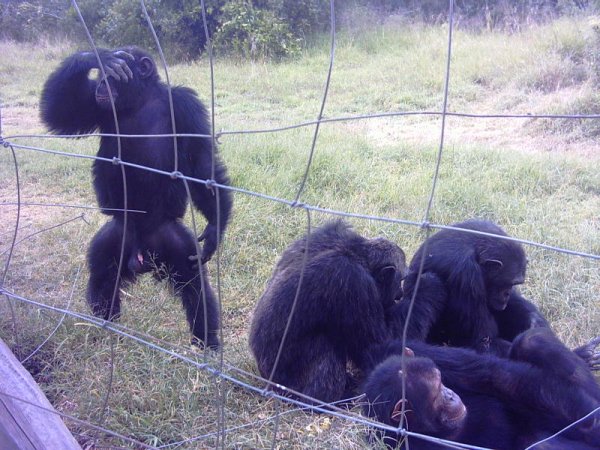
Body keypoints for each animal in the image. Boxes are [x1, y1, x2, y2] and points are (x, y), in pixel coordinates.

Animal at [39, 47, 232, 348]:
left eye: (112, 78)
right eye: (102, 75)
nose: (102, 83)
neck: (140, 101)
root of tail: (143, 251)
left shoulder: (186, 106)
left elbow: (201, 161)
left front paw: (215, 228)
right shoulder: (94, 106)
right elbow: (63, 113)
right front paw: (93, 56)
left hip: (175, 242)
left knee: (194, 286)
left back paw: (206, 341)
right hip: (117, 236)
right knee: (103, 274)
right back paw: (106, 326)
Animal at [248, 221, 408, 404]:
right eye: (401, 279)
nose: (400, 293)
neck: (356, 254)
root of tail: (267, 383)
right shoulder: (354, 283)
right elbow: (376, 345)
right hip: (289, 385)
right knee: (324, 345)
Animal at [360, 326, 600, 450]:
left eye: (440, 380)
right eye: (436, 396)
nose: (450, 395)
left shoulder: (421, 354)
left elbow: (496, 376)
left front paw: (591, 425)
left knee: (532, 340)